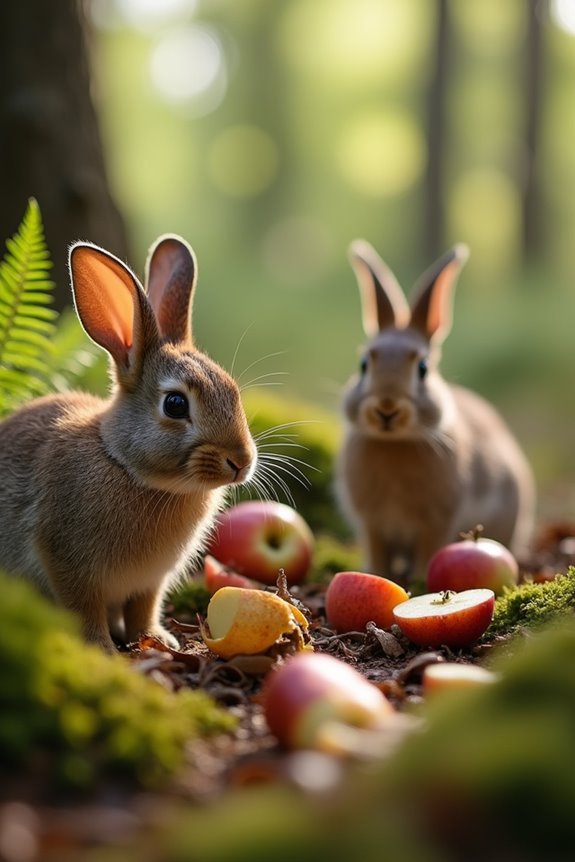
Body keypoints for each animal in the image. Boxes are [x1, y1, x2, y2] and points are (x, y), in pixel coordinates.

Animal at [0, 235, 258, 652]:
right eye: (175, 404)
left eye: (232, 390)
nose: (241, 461)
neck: (123, 464)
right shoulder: (66, 561)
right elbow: (84, 609)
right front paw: (103, 649)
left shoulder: (150, 582)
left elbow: (144, 608)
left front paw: (157, 640)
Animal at [335, 240, 535, 588]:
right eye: (363, 365)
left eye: (423, 368)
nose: (387, 409)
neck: (394, 444)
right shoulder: (371, 522)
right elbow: (377, 550)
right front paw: (376, 572)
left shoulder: (437, 519)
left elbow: (429, 547)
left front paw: (417, 579)